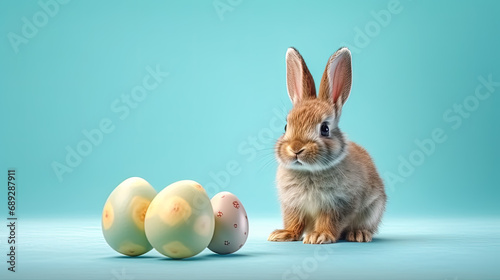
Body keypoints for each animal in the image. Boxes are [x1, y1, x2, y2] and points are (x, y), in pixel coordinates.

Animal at [268, 47, 388, 244]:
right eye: (286, 126)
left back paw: (358, 234)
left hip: (374, 208)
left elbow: (329, 221)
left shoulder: (338, 204)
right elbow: (294, 221)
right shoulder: (292, 204)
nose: (296, 149)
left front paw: (319, 236)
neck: (309, 171)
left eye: (325, 128)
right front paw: (283, 234)